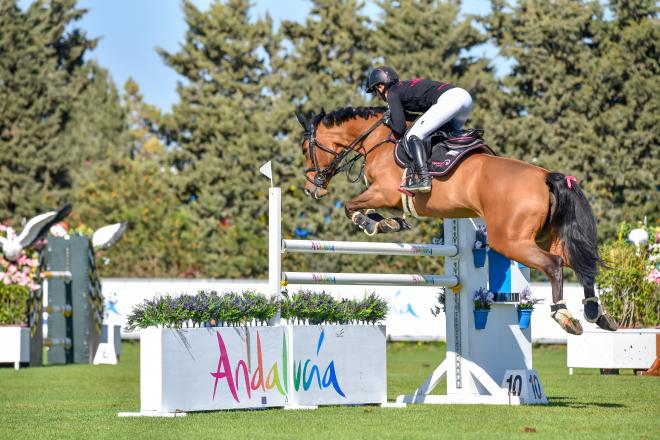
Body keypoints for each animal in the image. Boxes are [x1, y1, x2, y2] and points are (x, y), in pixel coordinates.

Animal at [296, 105, 620, 334]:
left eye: (304, 149)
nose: (311, 188)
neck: (377, 140)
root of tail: (546, 177)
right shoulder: (388, 197)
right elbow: (374, 210)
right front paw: (389, 223)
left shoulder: (384, 191)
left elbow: (351, 206)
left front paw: (372, 223)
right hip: (544, 238)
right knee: (578, 264)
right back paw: (597, 314)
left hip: (511, 241)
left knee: (555, 265)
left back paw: (564, 316)